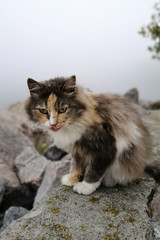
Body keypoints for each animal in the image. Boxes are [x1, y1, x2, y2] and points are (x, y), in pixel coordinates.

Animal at [25, 75, 160, 195]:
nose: (53, 124)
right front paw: (71, 179)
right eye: (43, 111)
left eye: (62, 109)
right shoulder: (77, 150)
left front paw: (85, 187)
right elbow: (75, 166)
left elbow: (94, 170)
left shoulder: (105, 148)